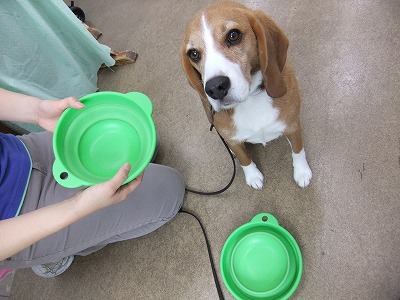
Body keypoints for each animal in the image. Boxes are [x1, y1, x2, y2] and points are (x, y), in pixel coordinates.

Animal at [181, 0, 312, 190]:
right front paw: (252, 176)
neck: (250, 99)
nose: (215, 87)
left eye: (233, 35)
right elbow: (244, 159)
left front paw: (302, 172)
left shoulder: (293, 126)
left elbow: (298, 150)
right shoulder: (234, 140)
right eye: (194, 54)